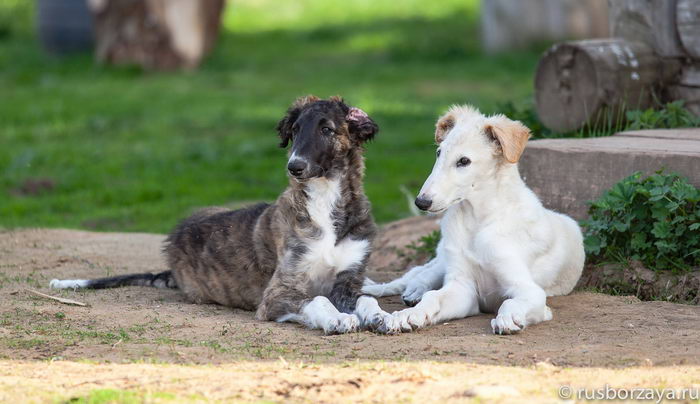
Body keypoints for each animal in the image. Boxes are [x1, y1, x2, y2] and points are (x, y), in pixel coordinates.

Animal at [50, 95, 394, 334]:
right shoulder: (277, 294)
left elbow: (364, 298)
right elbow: (318, 300)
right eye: (295, 131)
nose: (294, 167)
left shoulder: (349, 280)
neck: (325, 202)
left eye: (327, 129)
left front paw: (382, 315)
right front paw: (339, 320)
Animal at [364, 105, 588, 334]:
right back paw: (402, 290)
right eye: (439, 153)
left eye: (464, 161)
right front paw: (408, 315)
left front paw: (508, 319)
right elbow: (433, 297)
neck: (477, 222)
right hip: (444, 259)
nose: (421, 202)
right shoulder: (462, 286)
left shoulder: (528, 289)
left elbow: (510, 302)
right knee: (415, 276)